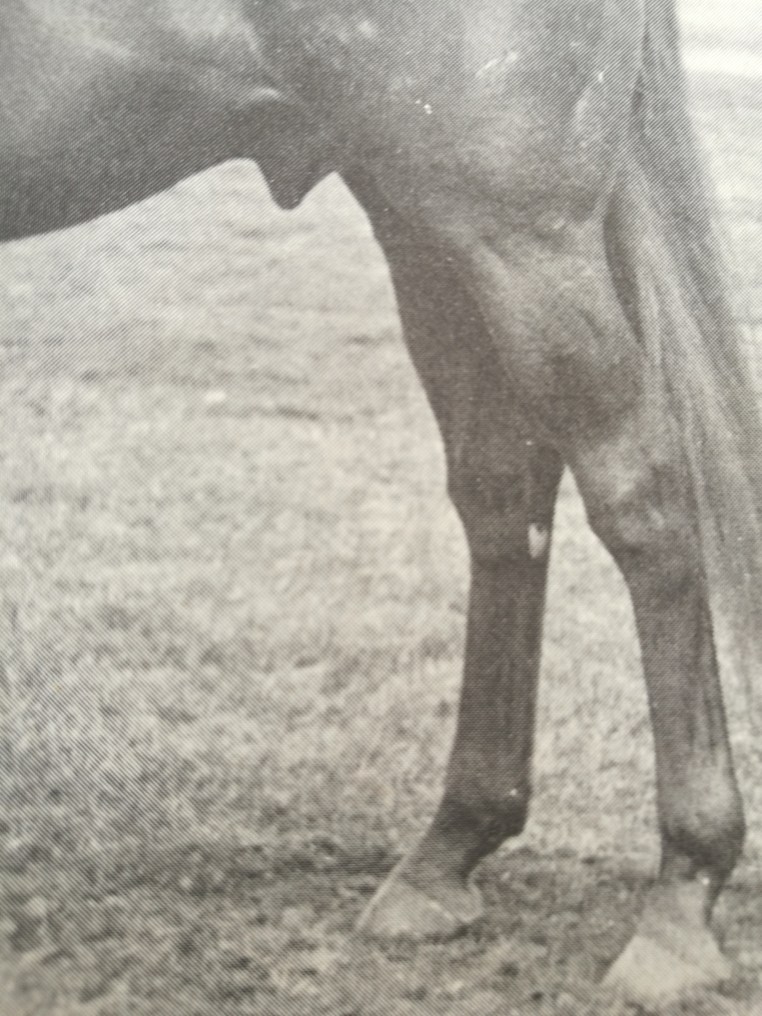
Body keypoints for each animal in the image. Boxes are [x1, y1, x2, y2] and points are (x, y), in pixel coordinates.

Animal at [1, 2, 760, 1008]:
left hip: (519, 232)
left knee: (645, 497)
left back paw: (681, 900)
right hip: (427, 228)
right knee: (504, 495)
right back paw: (447, 854)